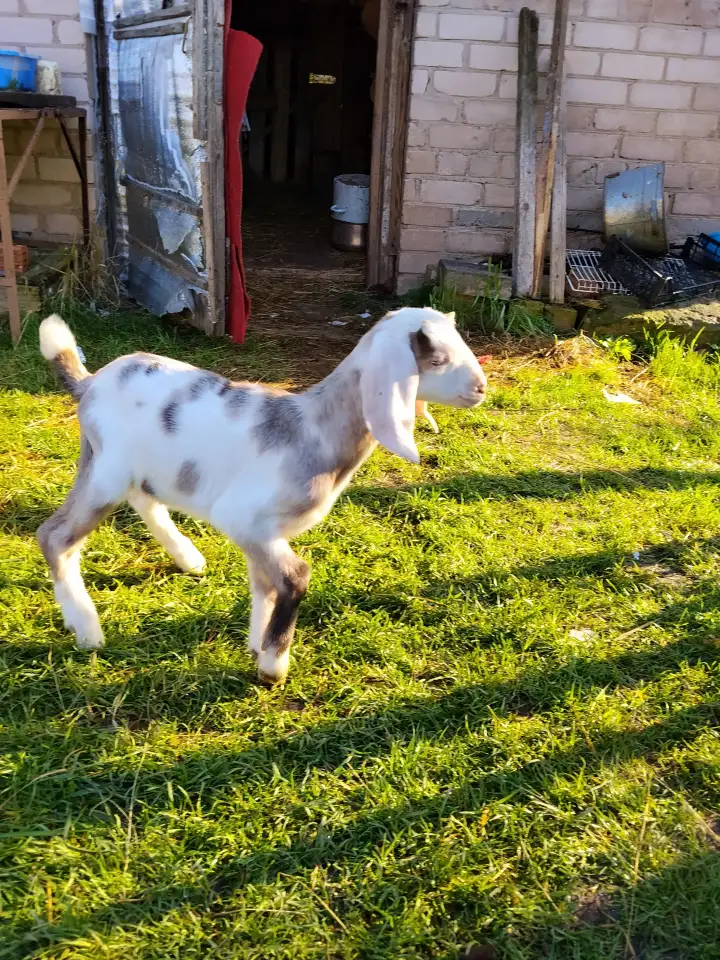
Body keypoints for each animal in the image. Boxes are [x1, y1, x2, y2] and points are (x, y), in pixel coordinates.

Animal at [37, 308, 487, 684]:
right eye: (438, 358)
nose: (482, 388)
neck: (314, 428)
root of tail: (90, 383)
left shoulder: (261, 532)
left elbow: (264, 584)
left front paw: (257, 644)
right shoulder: (246, 519)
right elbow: (294, 576)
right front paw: (273, 664)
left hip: (135, 468)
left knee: (143, 500)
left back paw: (187, 558)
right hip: (106, 473)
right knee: (55, 536)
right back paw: (86, 627)